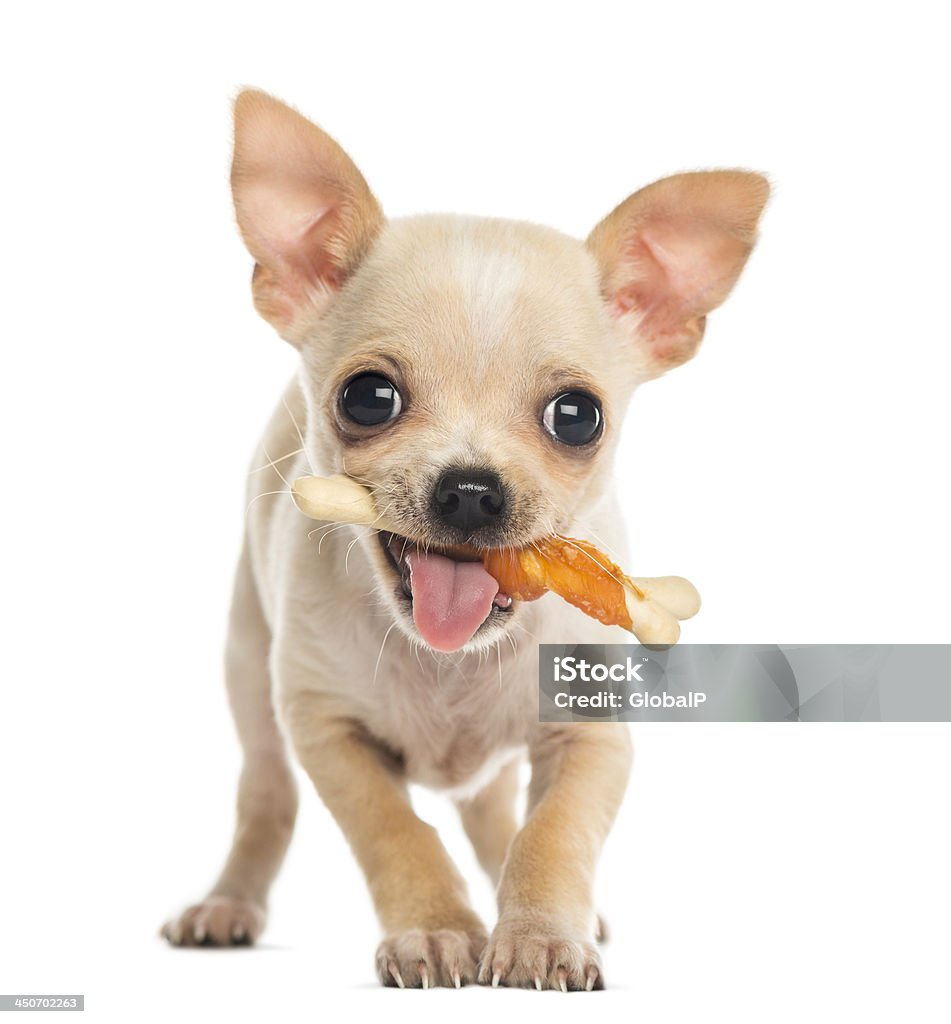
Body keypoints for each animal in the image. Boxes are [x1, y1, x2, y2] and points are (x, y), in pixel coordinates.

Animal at [163, 92, 769, 987]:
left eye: (577, 417)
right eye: (368, 397)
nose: (472, 489)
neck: (447, 662)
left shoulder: (589, 735)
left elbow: (551, 833)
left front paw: (544, 934)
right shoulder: (326, 732)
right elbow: (396, 831)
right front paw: (437, 929)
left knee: (493, 816)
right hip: (249, 674)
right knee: (266, 799)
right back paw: (228, 903)